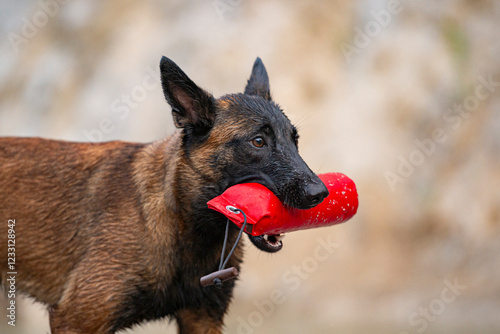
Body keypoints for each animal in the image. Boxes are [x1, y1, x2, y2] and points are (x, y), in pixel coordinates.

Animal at [0, 56, 330, 332]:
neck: (183, 224)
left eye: (295, 140)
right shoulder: (77, 318)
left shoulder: (203, 318)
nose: (321, 193)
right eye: (258, 141)